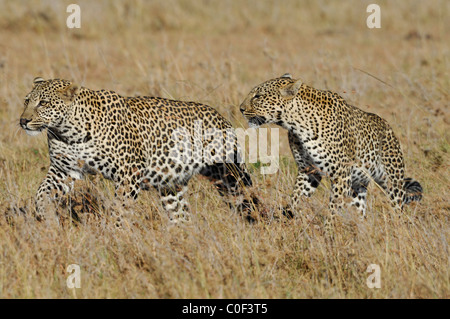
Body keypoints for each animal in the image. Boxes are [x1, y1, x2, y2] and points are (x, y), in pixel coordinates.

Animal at [21, 77, 258, 228]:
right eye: (26, 100)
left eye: (43, 103)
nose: (23, 120)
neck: (68, 131)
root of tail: (221, 117)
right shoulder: (63, 170)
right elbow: (41, 194)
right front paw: (47, 219)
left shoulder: (129, 172)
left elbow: (120, 208)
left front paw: (114, 236)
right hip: (171, 185)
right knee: (182, 216)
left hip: (228, 173)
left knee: (246, 196)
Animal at [241, 73, 424, 221]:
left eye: (258, 96)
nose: (241, 108)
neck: (296, 124)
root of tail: (388, 127)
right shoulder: (308, 171)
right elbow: (296, 198)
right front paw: (288, 220)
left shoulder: (341, 174)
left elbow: (333, 209)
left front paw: (329, 233)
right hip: (358, 187)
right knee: (360, 210)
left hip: (392, 179)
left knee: (398, 206)